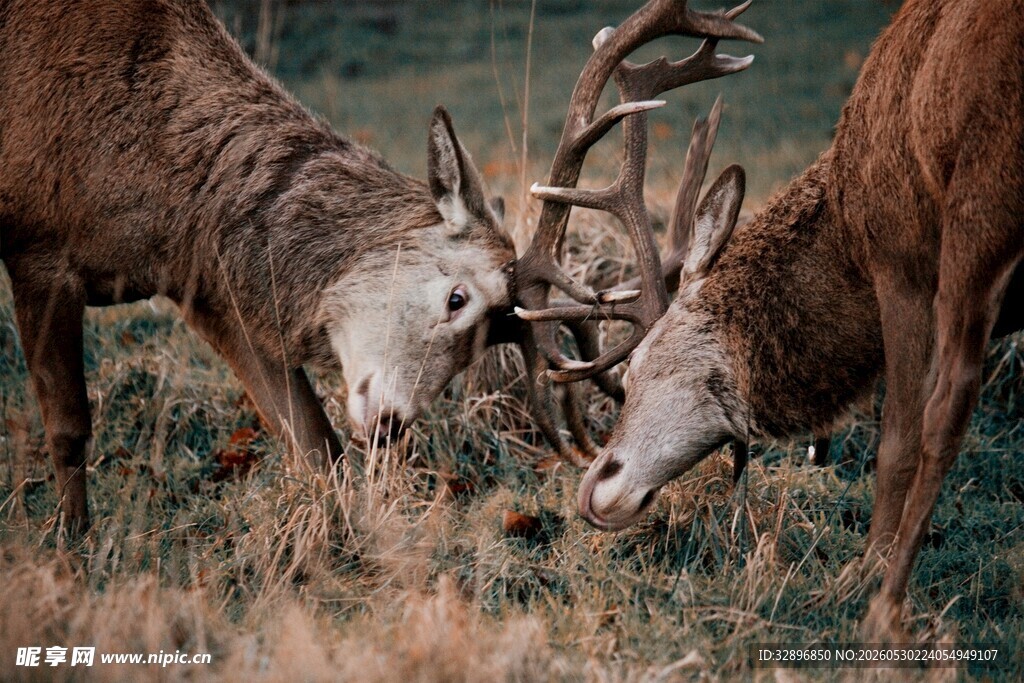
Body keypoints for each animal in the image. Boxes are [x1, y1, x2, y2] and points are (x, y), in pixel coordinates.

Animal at [0, 0, 518, 533]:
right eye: (456, 298)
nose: (389, 426)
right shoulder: (38, 250)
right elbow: (69, 428)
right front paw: (70, 540)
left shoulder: (208, 290)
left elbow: (313, 440)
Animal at [513, 0, 1023, 639]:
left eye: (638, 367)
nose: (594, 487)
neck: (846, 240)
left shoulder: (902, 265)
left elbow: (900, 439)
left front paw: (864, 576)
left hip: (983, 198)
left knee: (947, 406)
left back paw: (883, 604)